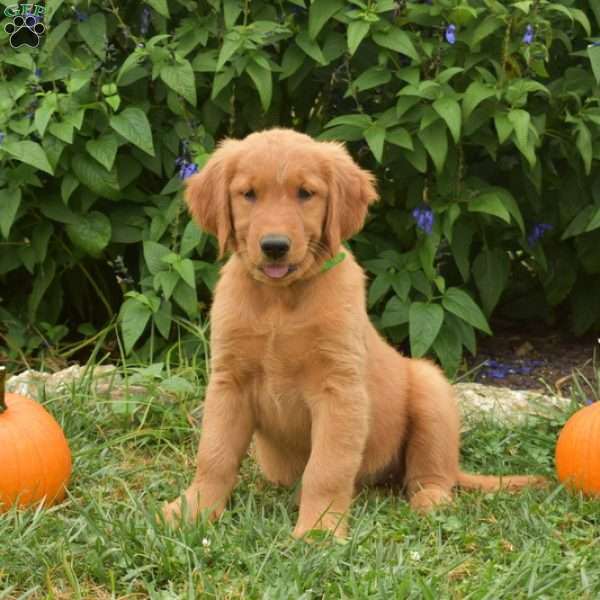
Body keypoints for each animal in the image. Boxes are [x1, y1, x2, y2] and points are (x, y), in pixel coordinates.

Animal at [163, 127, 544, 540]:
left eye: (305, 193)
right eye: (248, 194)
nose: (275, 246)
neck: (280, 302)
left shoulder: (339, 389)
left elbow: (326, 469)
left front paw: (319, 531)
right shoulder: (228, 382)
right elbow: (214, 455)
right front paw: (191, 510)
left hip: (431, 390)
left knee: (431, 472)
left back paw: (431, 501)